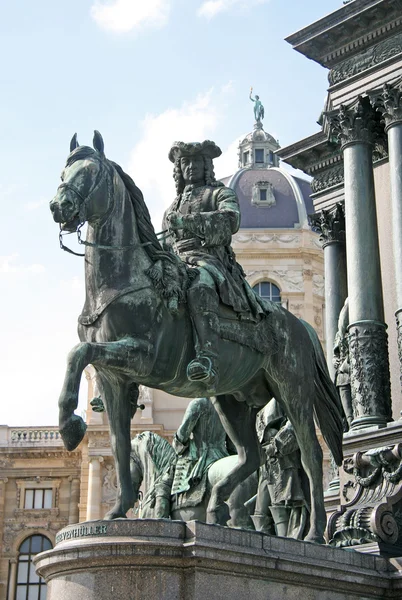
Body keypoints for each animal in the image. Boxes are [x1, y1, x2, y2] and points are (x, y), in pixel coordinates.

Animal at [48, 131, 342, 544]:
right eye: (63, 171)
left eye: (89, 173)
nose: (59, 206)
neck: (127, 282)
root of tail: (302, 327)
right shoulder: (114, 377)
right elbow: (118, 440)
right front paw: (118, 505)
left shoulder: (142, 356)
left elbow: (79, 352)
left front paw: (70, 426)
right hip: (233, 400)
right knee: (250, 455)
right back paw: (218, 506)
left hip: (292, 391)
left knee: (310, 453)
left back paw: (313, 534)